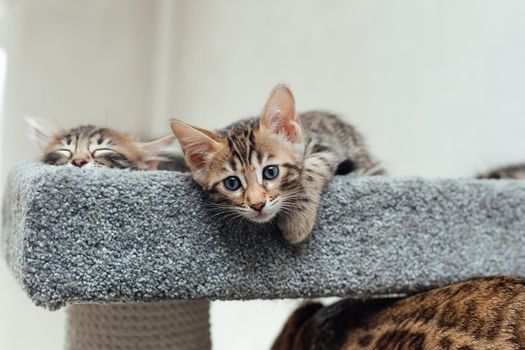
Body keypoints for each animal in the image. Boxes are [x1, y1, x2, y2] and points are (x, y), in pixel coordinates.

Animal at [170, 85, 382, 243]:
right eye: (232, 183)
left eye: (270, 172)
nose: (257, 205)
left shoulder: (324, 147)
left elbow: (311, 168)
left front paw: (297, 221)